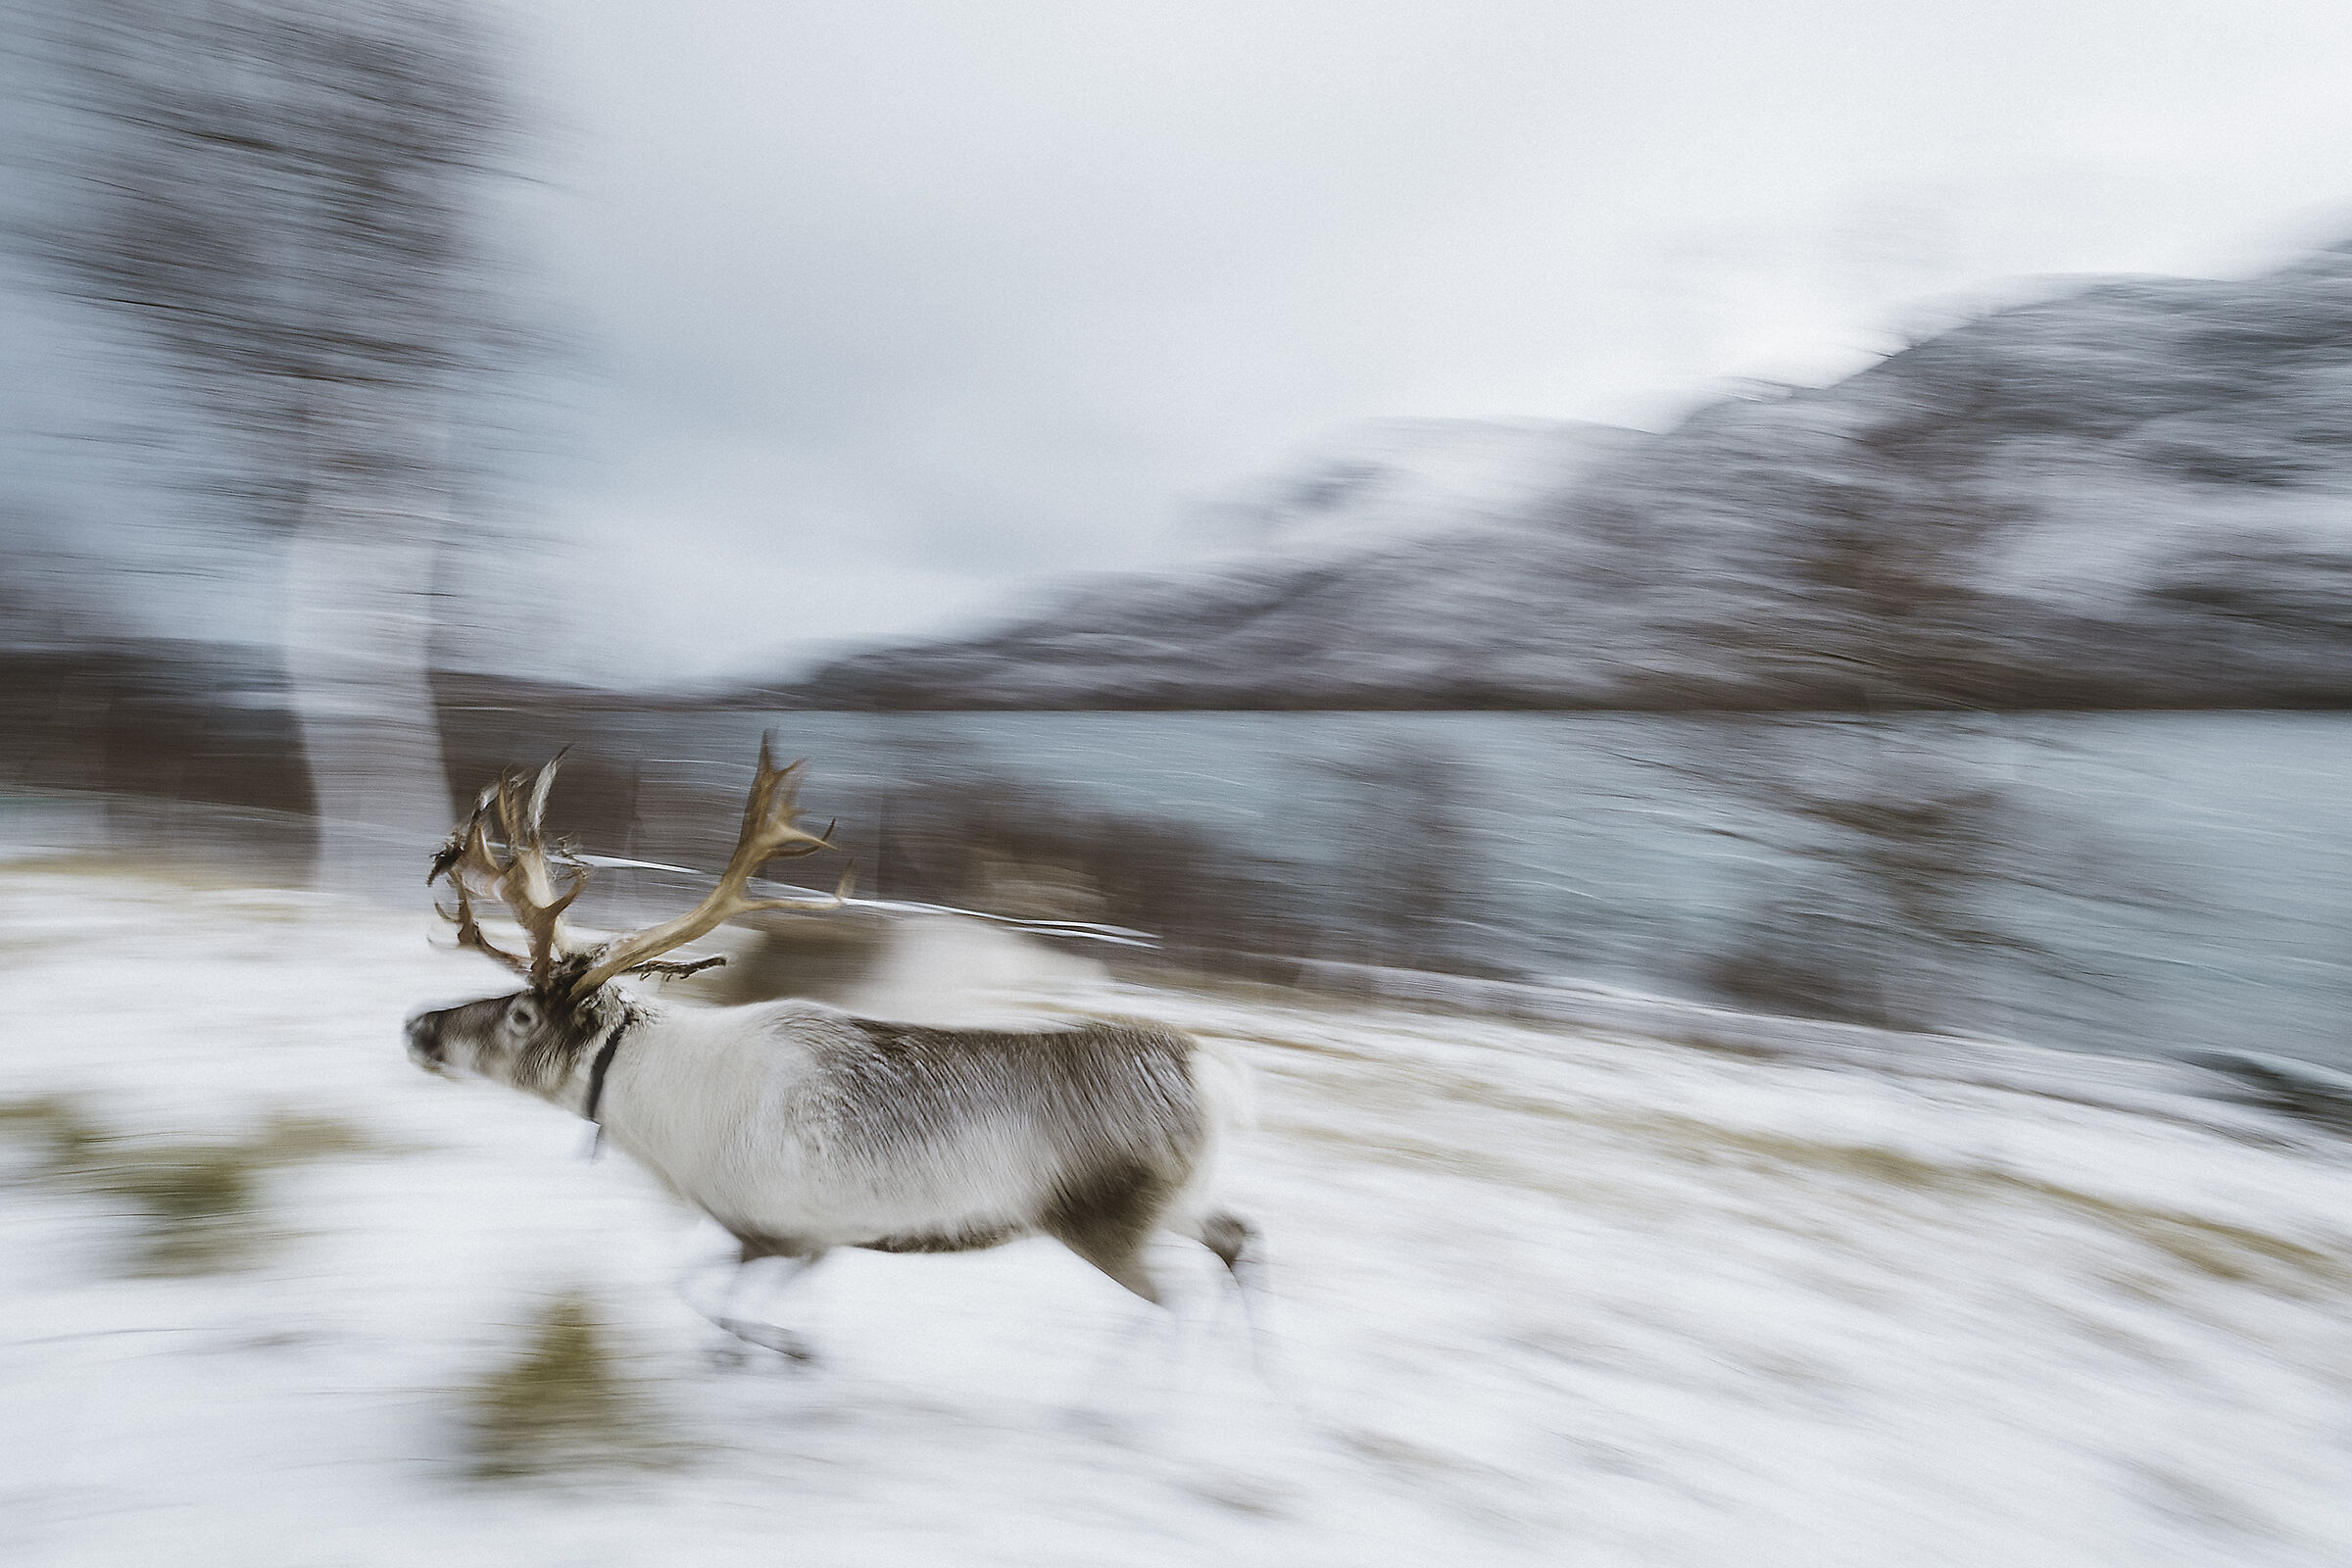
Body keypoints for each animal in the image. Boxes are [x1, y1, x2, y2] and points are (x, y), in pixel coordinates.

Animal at [403, 742, 1260, 1363]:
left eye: (520, 1015)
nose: (419, 1028)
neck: (657, 1110)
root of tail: (1215, 1078)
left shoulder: (767, 1230)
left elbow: (701, 1294)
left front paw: (769, 1347)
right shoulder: (805, 1241)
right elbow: (719, 1292)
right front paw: (786, 1343)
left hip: (1104, 1221)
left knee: (1173, 1297)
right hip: (1182, 1203)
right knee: (1239, 1239)